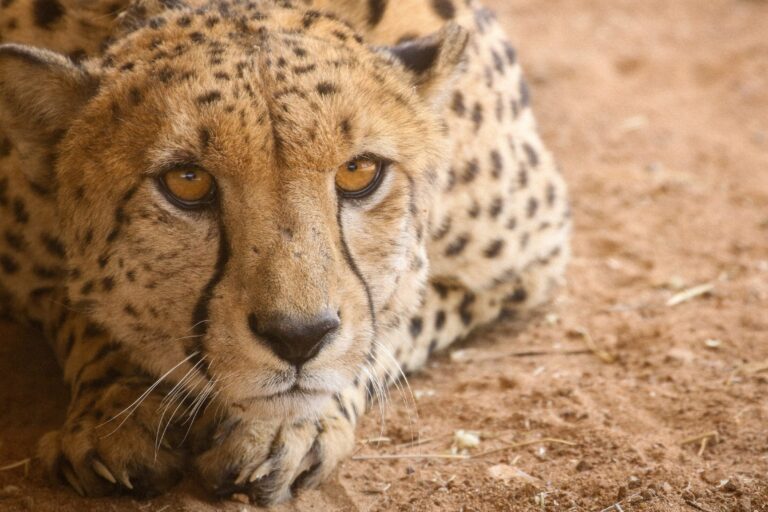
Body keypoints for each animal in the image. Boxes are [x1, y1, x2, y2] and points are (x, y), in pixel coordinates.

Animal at [0, 0, 568, 504]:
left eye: (359, 171)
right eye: (186, 181)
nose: (299, 337)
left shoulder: (529, 261)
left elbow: (388, 323)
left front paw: (282, 425)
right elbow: (83, 313)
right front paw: (114, 414)